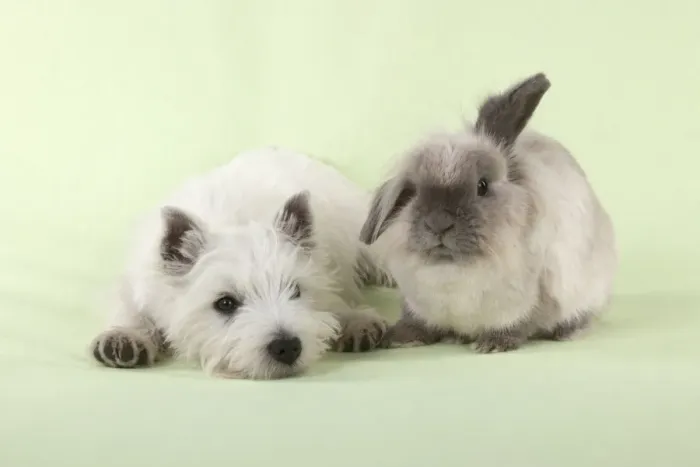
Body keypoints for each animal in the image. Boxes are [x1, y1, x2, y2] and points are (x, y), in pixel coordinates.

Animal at [90, 147, 393, 379]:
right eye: (225, 303)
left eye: (295, 291)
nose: (287, 347)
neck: (234, 219)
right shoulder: (139, 278)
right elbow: (130, 309)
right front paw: (124, 337)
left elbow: (335, 299)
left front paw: (355, 321)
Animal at [359, 73, 617, 353]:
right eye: (414, 192)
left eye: (482, 186)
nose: (438, 224)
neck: (452, 272)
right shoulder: (418, 305)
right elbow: (419, 322)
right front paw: (399, 337)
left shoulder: (533, 300)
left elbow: (521, 324)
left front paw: (493, 344)